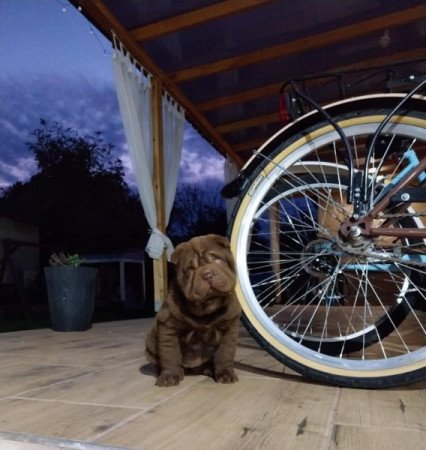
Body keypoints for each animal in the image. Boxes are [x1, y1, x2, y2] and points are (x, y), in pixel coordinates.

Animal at [146, 234, 240, 384]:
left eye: (217, 259)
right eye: (190, 269)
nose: (207, 274)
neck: (207, 307)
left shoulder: (229, 329)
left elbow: (225, 354)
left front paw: (225, 374)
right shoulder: (168, 327)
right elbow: (170, 354)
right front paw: (169, 376)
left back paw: (209, 370)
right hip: (149, 342)